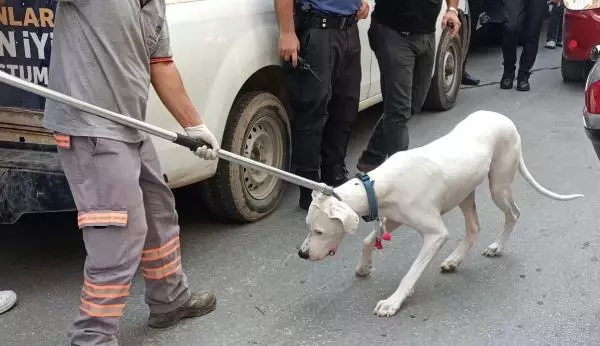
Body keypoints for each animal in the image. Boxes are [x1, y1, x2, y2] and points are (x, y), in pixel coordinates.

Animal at [298, 110, 584, 316]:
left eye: (319, 231)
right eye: (308, 227)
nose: (302, 254)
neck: (378, 185)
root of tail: (504, 118)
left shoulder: (435, 234)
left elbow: (411, 272)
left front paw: (393, 301)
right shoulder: (394, 219)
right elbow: (369, 240)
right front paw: (363, 266)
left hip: (498, 186)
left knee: (513, 214)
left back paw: (496, 247)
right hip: (465, 192)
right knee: (473, 227)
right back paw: (455, 259)